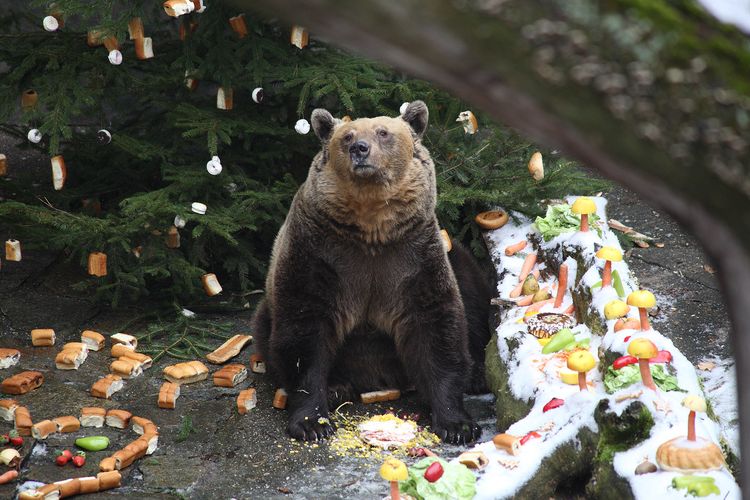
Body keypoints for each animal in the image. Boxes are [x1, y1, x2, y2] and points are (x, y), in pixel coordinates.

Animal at [256, 101, 494, 446]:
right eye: (347, 136)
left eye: (383, 132)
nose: (360, 149)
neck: (371, 227)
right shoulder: (319, 252)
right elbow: (303, 328)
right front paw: (313, 422)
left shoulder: (411, 254)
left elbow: (436, 325)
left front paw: (457, 423)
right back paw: (337, 386)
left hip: (454, 253)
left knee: (474, 301)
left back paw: (477, 375)